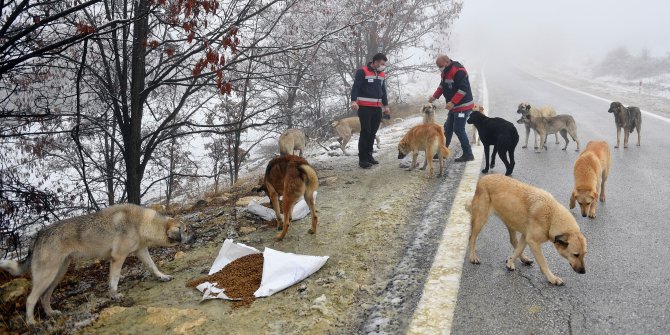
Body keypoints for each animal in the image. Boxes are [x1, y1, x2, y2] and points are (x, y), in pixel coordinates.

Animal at [0, 205, 196, 326]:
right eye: (186, 231)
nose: (196, 237)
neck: (141, 223)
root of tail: (38, 235)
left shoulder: (141, 251)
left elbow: (153, 267)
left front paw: (163, 277)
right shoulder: (118, 258)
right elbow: (114, 280)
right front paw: (115, 296)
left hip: (57, 274)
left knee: (44, 297)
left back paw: (51, 314)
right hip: (47, 275)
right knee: (31, 299)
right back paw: (31, 322)